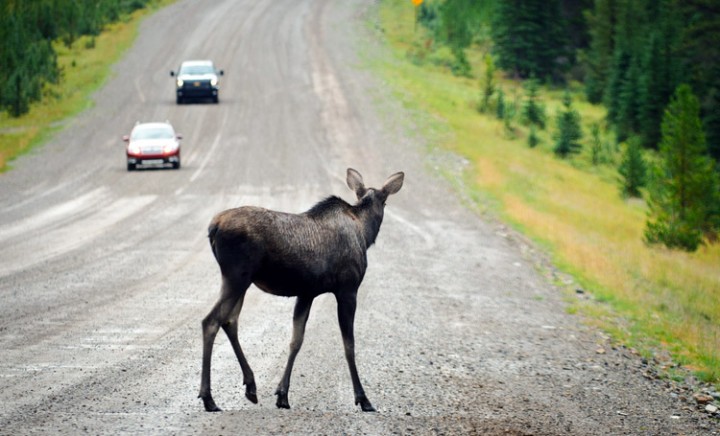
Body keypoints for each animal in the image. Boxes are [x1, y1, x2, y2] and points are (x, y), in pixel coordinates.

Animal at [200, 167, 404, 412]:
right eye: (386, 201)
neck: (364, 232)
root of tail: (214, 227)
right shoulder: (348, 290)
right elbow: (349, 345)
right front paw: (363, 399)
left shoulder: (307, 293)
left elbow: (296, 341)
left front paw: (282, 394)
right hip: (237, 277)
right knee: (211, 321)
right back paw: (209, 398)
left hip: (238, 281)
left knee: (229, 321)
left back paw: (250, 386)